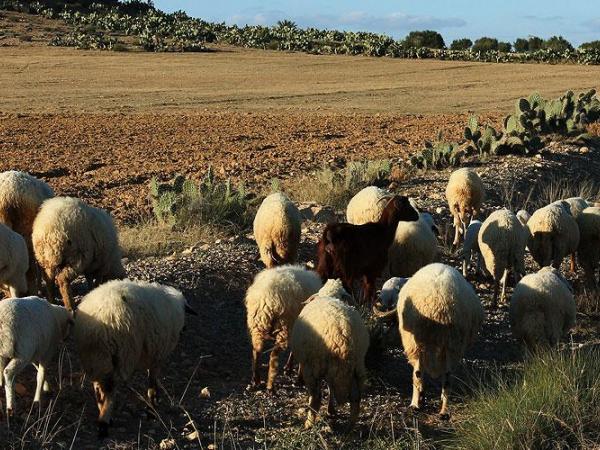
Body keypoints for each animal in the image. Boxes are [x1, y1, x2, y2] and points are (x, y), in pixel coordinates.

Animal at [72, 280, 195, 438]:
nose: (184, 329)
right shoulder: (157, 355)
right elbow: (152, 380)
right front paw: (152, 404)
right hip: (121, 354)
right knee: (110, 389)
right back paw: (104, 422)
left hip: (96, 358)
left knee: (99, 387)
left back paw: (103, 412)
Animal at [290, 284, 368, 428]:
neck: (330, 295)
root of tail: (342, 335)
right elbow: (330, 387)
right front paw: (331, 409)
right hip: (358, 366)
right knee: (356, 398)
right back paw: (350, 426)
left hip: (314, 365)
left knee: (316, 397)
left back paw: (309, 423)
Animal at [398, 262, 482, 416]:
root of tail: (438, 299)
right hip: (450, 343)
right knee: (444, 377)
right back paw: (442, 410)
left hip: (424, 342)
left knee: (420, 374)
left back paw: (420, 405)